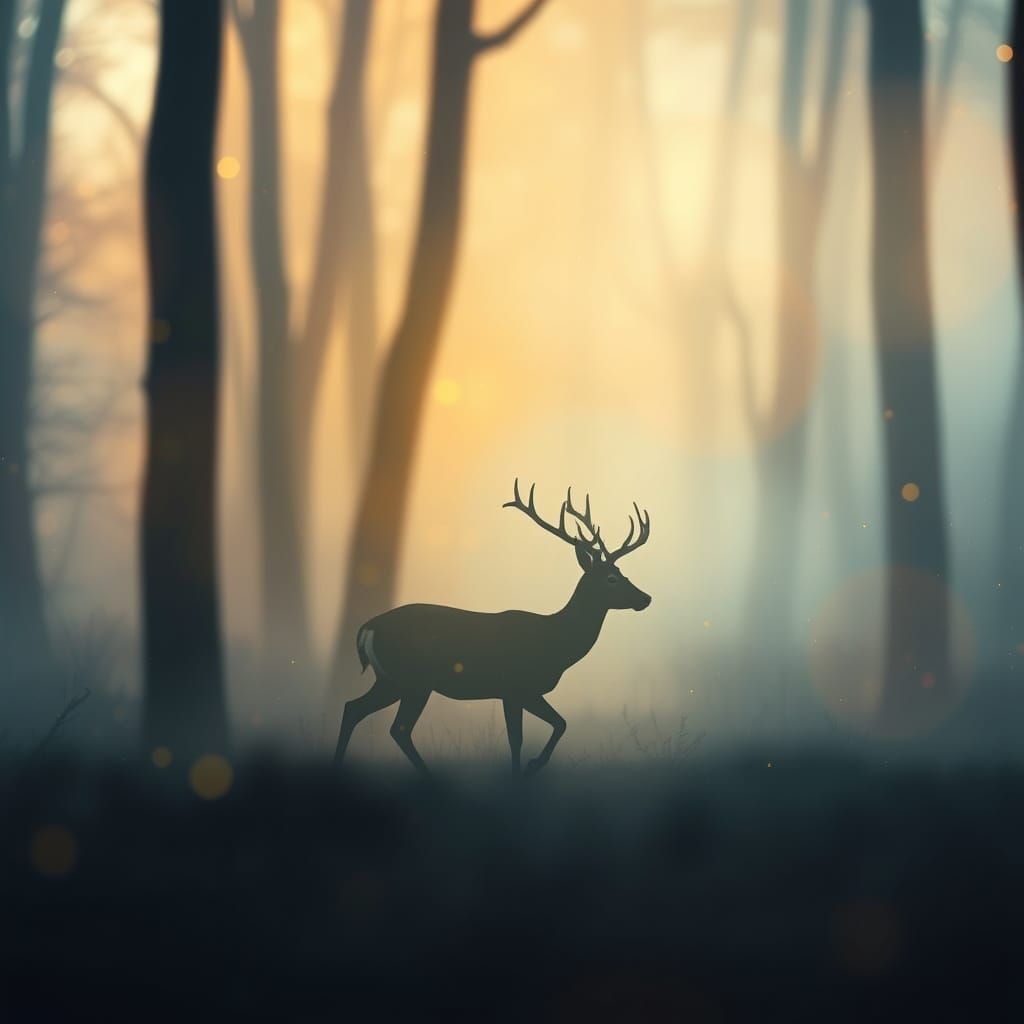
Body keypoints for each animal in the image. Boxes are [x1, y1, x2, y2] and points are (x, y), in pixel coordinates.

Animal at [333, 480, 652, 776]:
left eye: (622, 572)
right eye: (611, 579)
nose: (645, 598)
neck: (555, 643)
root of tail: (368, 628)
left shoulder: (521, 692)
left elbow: (556, 724)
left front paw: (528, 768)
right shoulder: (515, 687)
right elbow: (525, 736)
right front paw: (528, 768)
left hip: (390, 679)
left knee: (354, 709)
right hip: (411, 679)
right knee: (396, 727)